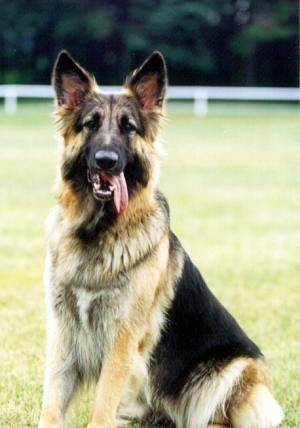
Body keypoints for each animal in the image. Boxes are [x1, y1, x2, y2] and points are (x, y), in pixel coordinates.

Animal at [38, 51, 284, 428]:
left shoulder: (122, 339)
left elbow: (102, 405)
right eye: (90, 124)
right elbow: (51, 405)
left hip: (227, 370)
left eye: (128, 127)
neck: (98, 232)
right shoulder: (63, 333)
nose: (106, 161)